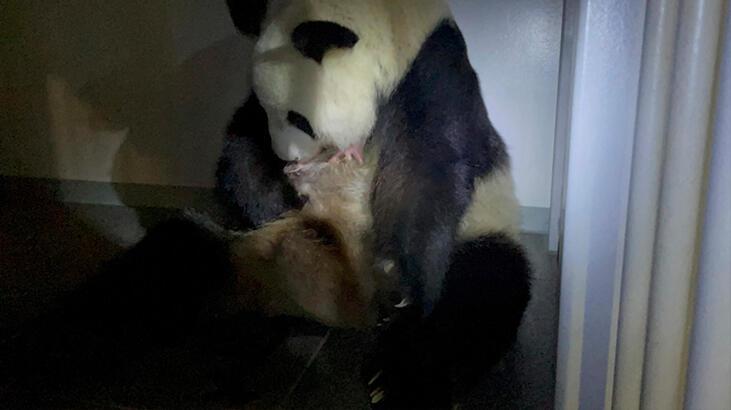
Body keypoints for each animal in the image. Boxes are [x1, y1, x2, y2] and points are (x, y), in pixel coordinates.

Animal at [216, 0, 532, 407]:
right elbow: (242, 143)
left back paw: (399, 377)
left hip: (482, 230)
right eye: (271, 111)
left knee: (481, 293)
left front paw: (403, 281)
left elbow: (428, 166)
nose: (286, 158)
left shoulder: (432, 72)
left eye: (298, 118)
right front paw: (273, 201)